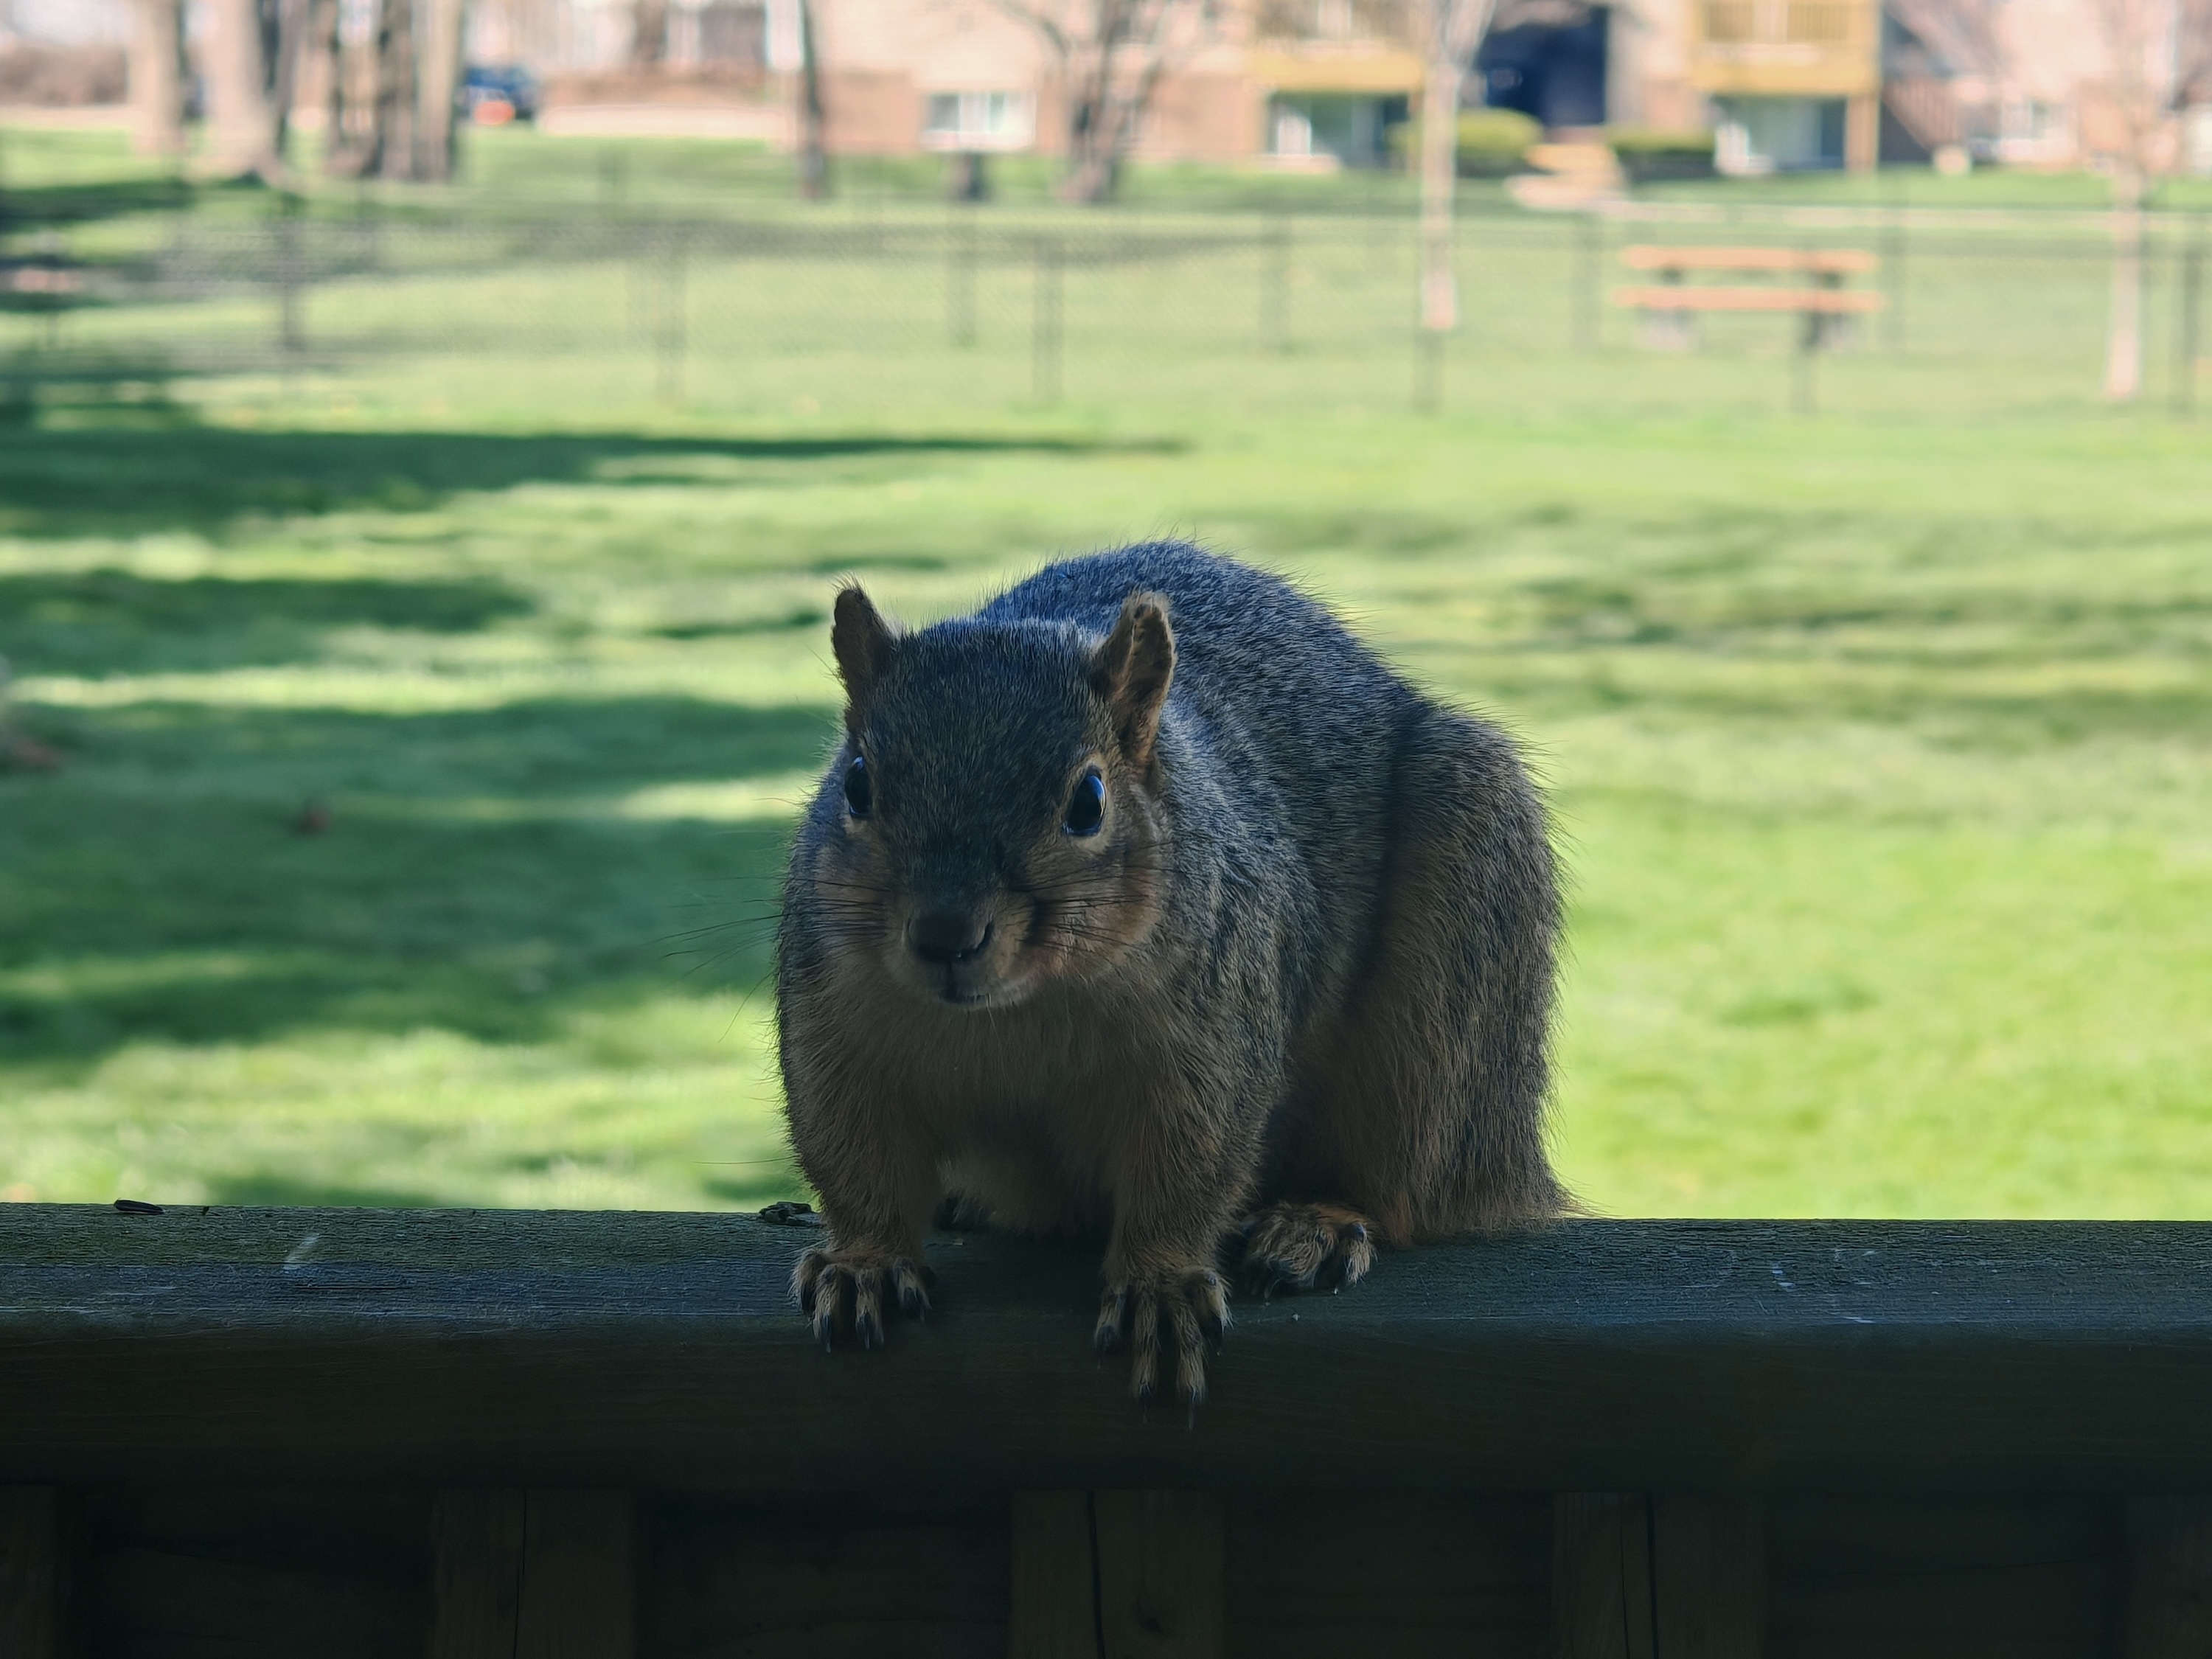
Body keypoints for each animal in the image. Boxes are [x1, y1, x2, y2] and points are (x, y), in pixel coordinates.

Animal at [770, 542, 1566, 1407]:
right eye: (855, 784)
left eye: (1088, 801)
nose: (946, 934)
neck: (1016, 1011)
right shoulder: (834, 1024)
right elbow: (853, 1156)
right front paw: (865, 1263)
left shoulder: (1213, 1033)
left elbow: (1189, 1165)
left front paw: (1160, 1285)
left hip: (1455, 977)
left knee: (1403, 1178)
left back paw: (1316, 1223)